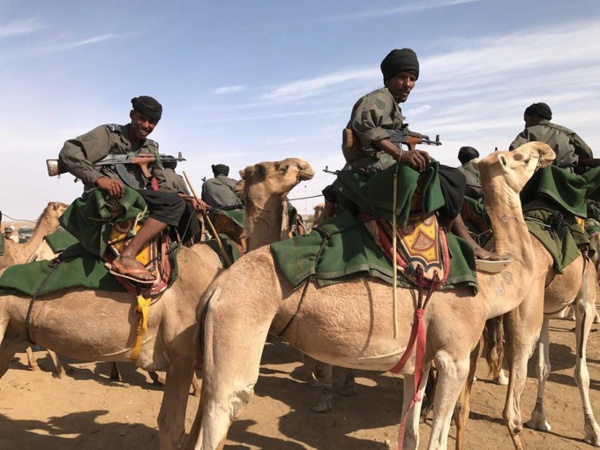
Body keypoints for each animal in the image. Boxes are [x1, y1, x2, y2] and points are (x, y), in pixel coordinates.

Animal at [185, 142, 556, 450]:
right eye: (522, 158)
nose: (546, 150)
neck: (491, 283)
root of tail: (217, 288)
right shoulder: (455, 356)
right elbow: (435, 441)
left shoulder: (420, 360)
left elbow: (411, 436)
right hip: (237, 333)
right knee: (224, 409)